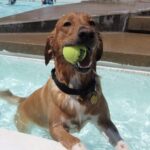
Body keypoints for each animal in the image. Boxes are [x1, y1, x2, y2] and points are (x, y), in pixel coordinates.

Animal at [0, 12, 127, 150]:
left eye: (92, 23)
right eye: (67, 24)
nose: (88, 33)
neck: (77, 89)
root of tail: (24, 100)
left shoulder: (104, 121)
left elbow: (122, 144)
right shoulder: (56, 127)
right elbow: (76, 141)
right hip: (25, 127)